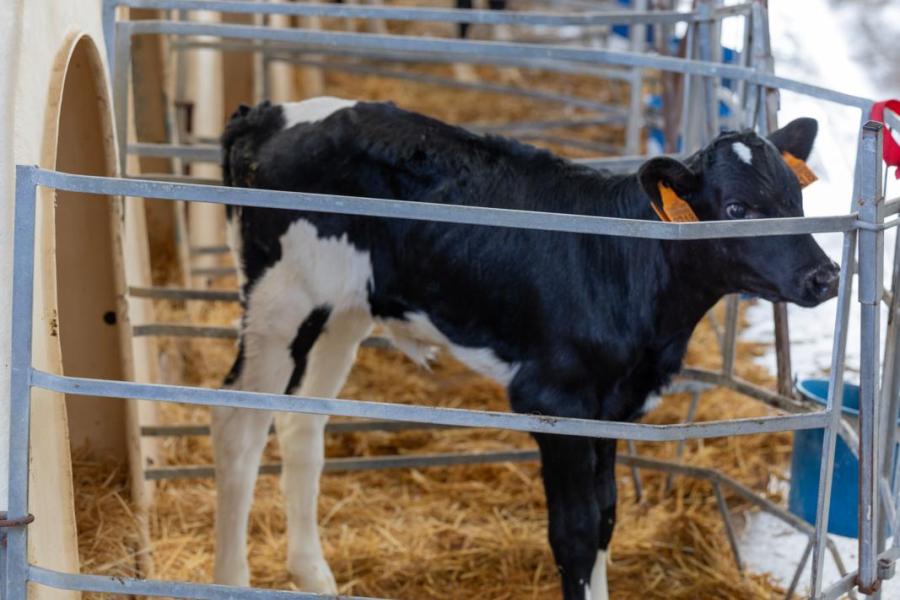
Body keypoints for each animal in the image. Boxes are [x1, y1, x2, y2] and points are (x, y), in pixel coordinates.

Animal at [214, 96, 840, 596]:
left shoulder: (613, 407)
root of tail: (267, 115)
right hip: (278, 300)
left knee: (300, 424)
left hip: (342, 309)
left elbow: (605, 516)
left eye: (795, 199)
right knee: (239, 428)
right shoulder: (553, 400)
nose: (825, 276)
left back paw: (314, 575)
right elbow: (575, 533)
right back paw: (233, 579)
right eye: (736, 209)